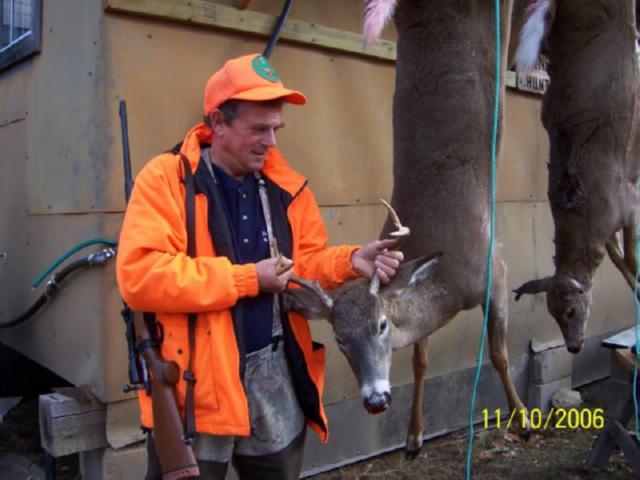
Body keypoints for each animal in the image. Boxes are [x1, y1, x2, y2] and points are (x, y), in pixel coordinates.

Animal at [283, 0, 528, 458]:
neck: (448, 287)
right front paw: (413, 437)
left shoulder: (496, 269)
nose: (376, 400)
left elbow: (500, 353)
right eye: (338, 339)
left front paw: (522, 420)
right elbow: (420, 362)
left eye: (381, 325)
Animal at [513, 0, 640, 353]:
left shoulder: (628, 203)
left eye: (571, 310)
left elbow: (632, 258)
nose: (574, 347)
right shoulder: (614, 224)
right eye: (551, 313)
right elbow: (620, 259)